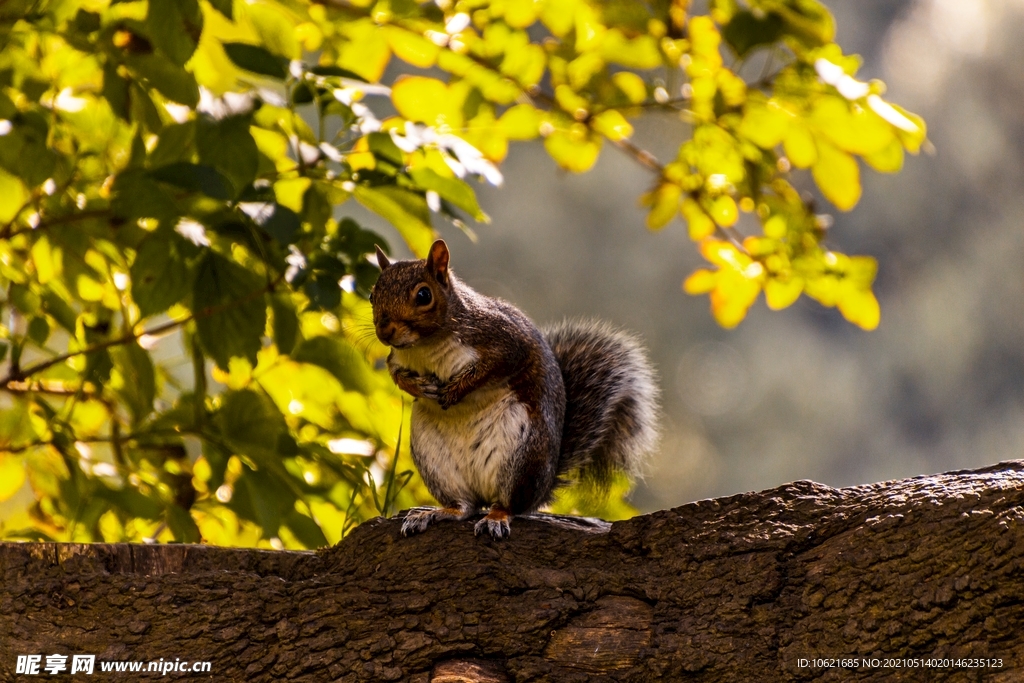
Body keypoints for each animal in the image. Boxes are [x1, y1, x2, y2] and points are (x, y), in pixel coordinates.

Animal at [372, 240, 659, 540]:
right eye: (371, 294)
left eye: (424, 295)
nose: (385, 331)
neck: (426, 345)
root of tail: (542, 490)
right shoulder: (397, 358)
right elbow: (396, 374)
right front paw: (417, 386)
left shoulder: (504, 340)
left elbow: (491, 368)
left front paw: (456, 390)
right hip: (436, 462)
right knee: (465, 507)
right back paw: (436, 513)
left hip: (523, 457)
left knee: (509, 505)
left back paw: (496, 518)